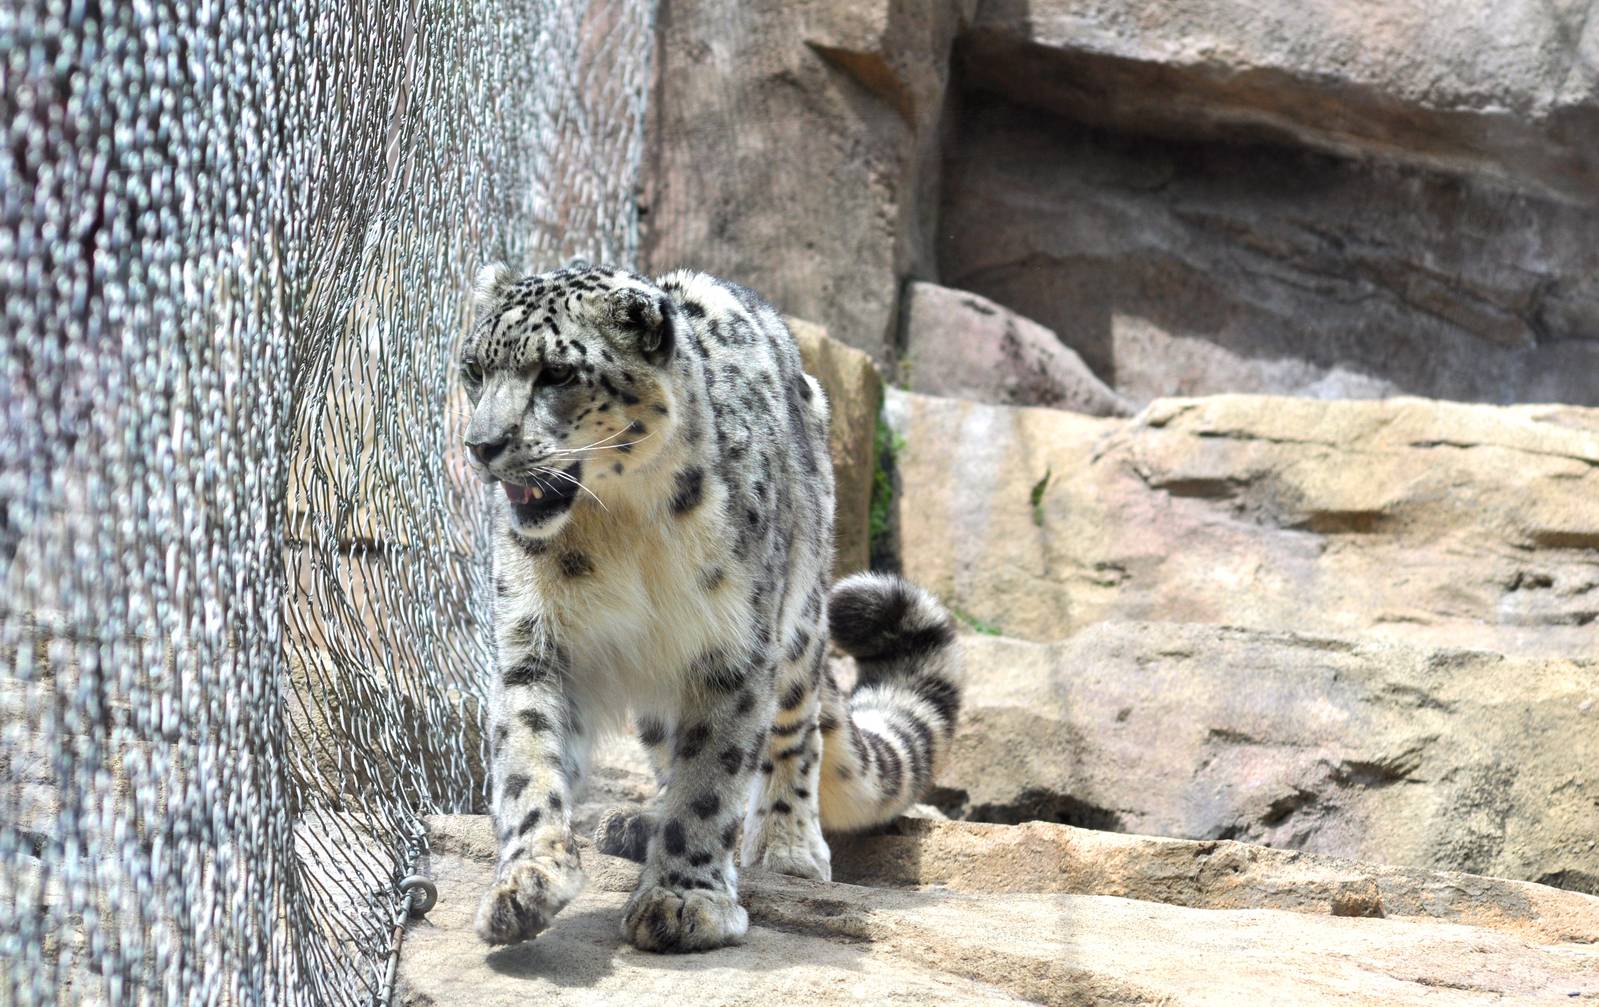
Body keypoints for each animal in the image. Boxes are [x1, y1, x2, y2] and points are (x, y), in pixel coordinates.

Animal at [459, 261, 961, 953]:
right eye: (473, 370)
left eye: (556, 373)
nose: (482, 444)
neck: (617, 523)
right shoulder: (535, 642)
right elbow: (528, 757)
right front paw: (526, 883)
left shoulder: (732, 646)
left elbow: (711, 778)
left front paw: (683, 901)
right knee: (665, 742)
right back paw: (638, 822)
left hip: (800, 621)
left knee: (795, 731)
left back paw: (787, 845)